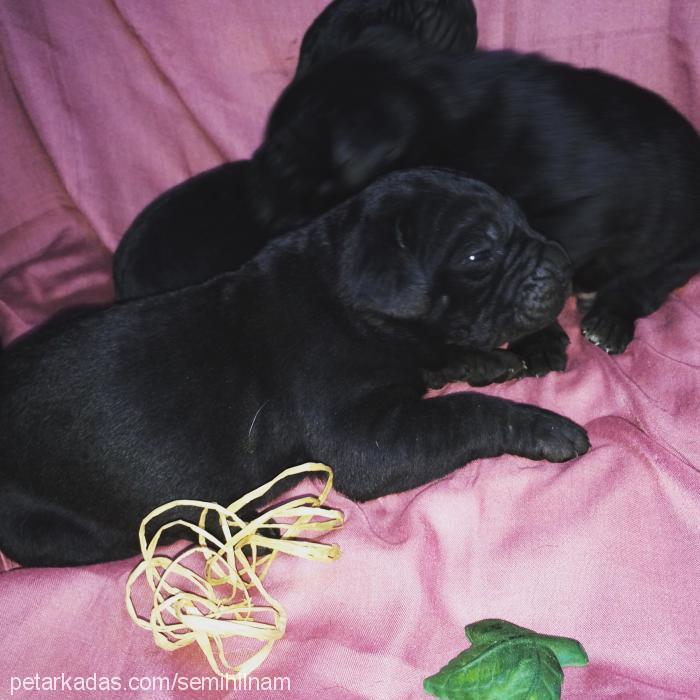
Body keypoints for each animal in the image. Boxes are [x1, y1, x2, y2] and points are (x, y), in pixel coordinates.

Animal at [0, 171, 588, 568]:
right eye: (476, 256)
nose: (564, 264)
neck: (351, 303)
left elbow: (439, 358)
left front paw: (488, 359)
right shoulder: (366, 440)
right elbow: (465, 411)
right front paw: (544, 427)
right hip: (59, 530)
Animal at [252, 27, 700, 366]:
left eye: (284, 156)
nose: (261, 217)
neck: (440, 111)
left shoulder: (581, 215)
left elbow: (530, 277)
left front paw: (536, 338)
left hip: (677, 250)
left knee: (650, 285)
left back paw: (610, 319)